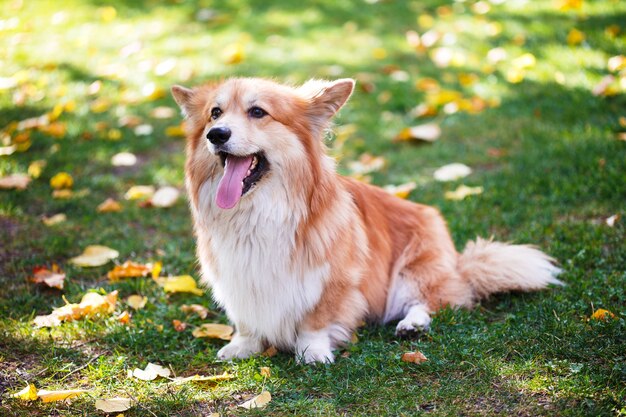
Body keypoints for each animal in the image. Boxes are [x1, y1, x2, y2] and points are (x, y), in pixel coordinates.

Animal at [171, 76, 560, 362]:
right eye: (215, 113)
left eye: (257, 112)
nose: (216, 135)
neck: (259, 213)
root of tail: (459, 263)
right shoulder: (235, 276)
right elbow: (247, 320)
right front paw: (243, 345)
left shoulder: (334, 280)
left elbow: (317, 320)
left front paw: (313, 351)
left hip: (417, 267)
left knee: (429, 300)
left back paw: (412, 324)